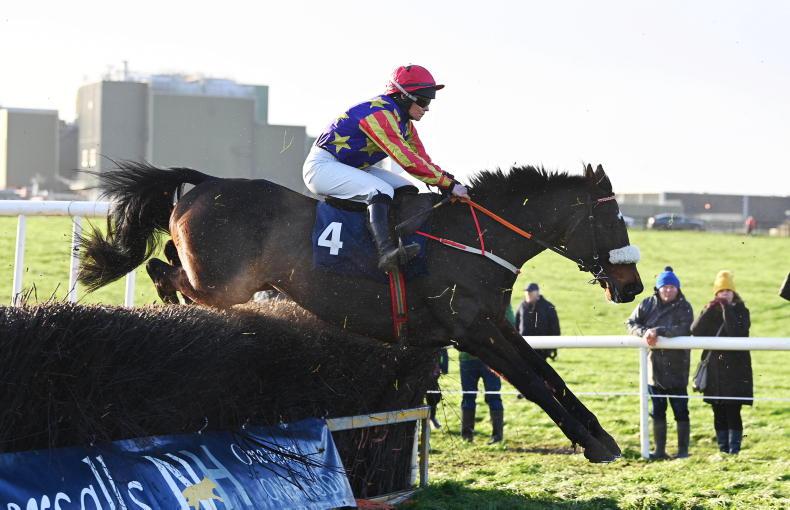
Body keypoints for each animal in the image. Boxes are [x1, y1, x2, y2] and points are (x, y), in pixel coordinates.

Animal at [78, 161, 643, 463]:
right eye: (615, 218)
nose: (632, 286)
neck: (473, 237)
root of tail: (205, 183)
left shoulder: (492, 323)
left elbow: (549, 375)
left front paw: (600, 435)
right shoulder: (471, 331)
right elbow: (533, 382)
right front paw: (593, 442)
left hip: (219, 277)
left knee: (165, 264)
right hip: (220, 281)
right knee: (163, 272)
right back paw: (181, 318)